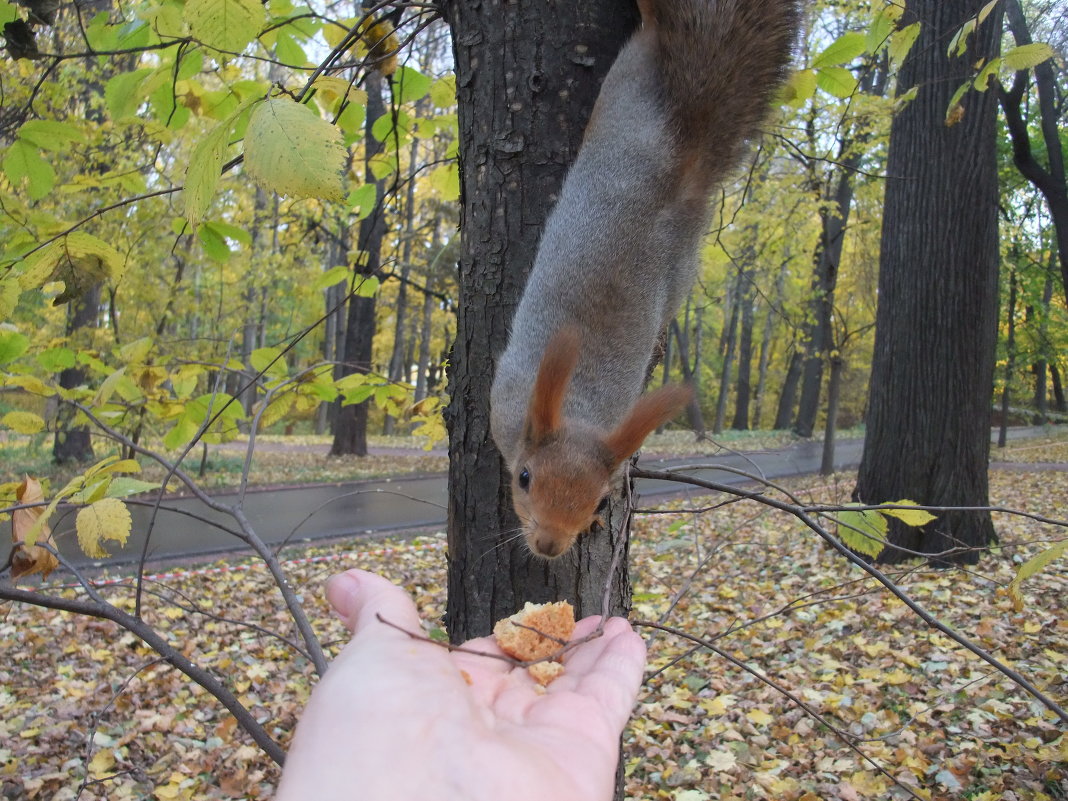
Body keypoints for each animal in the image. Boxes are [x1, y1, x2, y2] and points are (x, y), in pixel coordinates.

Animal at [489, 0, 798, 559]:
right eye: (524, 477)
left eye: (601, 500)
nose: (550, 545)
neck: (580, 407)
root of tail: (684, 160)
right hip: (627, 88)